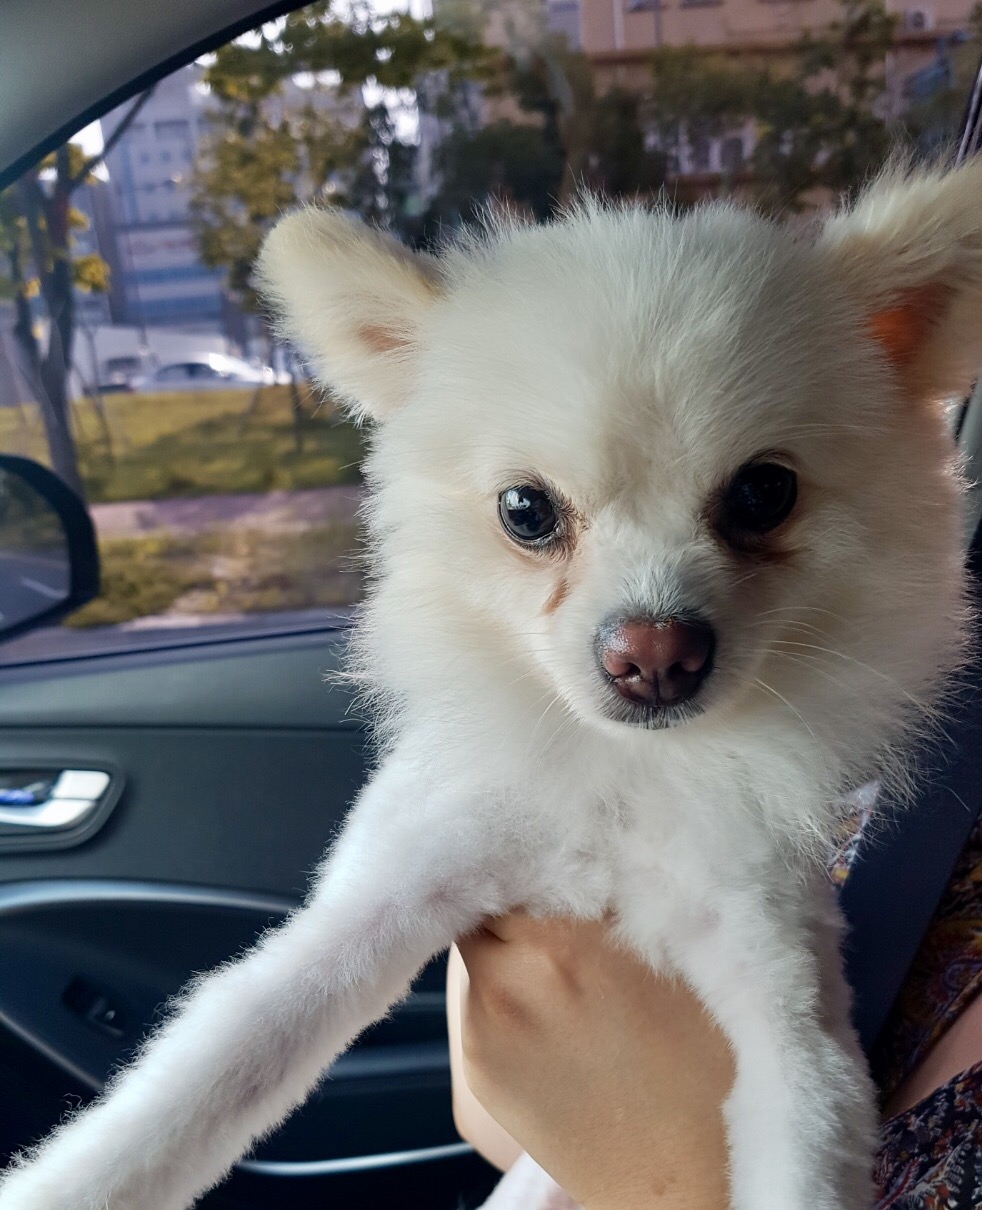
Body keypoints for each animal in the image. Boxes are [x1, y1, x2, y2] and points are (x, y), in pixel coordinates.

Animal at [1, 158, 980, 1210]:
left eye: (765, 493)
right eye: (526, 509)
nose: (654, 653)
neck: (619, 779)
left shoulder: (786, 996)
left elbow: (801, 1138)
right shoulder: (396, 885)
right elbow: (225, 1059)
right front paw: (80, 1179)